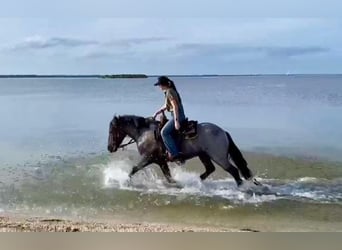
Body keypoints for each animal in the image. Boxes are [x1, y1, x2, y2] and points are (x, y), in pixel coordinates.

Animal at [107, 114, 260, 187]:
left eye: (112, 130)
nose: (109, 148)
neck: (144, 133)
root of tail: (223, 132)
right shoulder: (161, 161)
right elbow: (169, 177)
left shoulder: (149, 158)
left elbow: (134, 169)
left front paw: (125, 182)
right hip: (204, 155)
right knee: (210, 169)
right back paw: (196, 181)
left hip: (219, 157)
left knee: (233, 171)